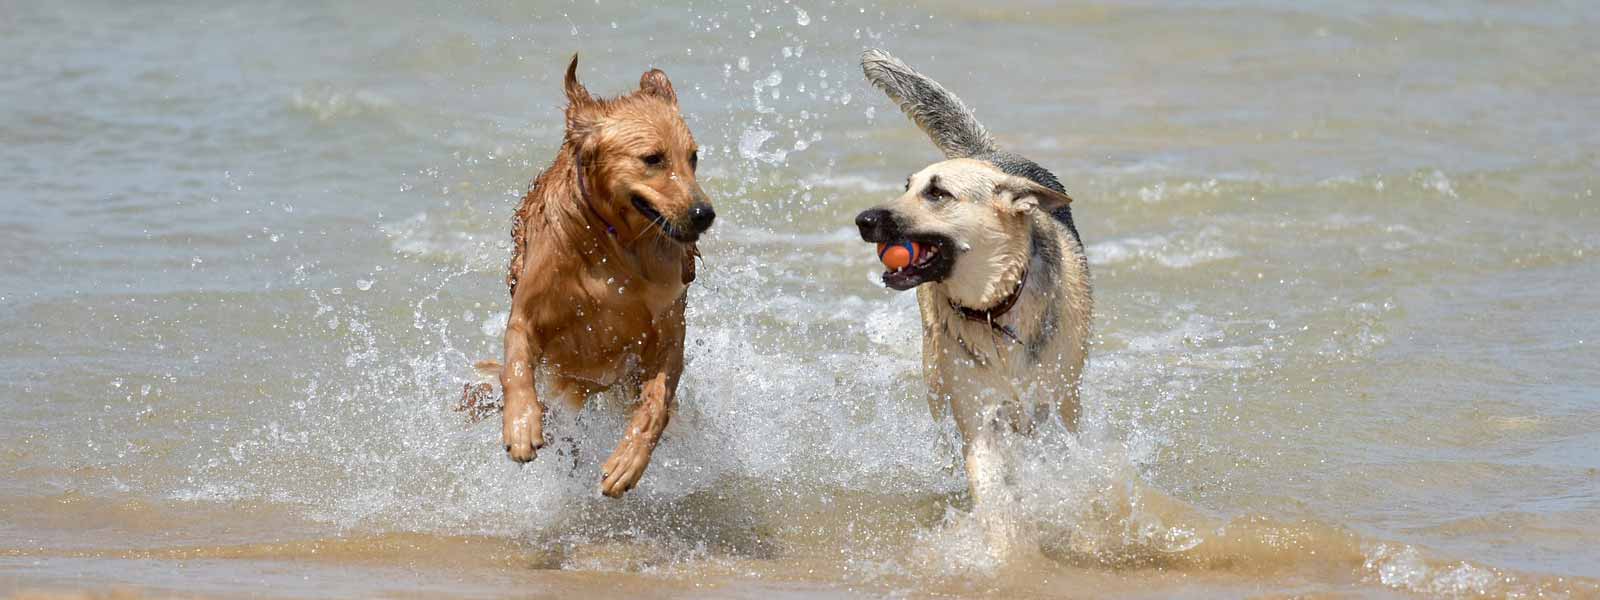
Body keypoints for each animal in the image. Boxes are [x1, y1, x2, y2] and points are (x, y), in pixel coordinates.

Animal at [486, 55, 713, 499]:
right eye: (653, 158)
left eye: (692, 157)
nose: (704, 214)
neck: (615, 247)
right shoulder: (528, 312)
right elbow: (516, 364)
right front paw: (521, 426)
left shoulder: (667, 332)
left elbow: (656, 402)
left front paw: (628, 461)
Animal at [857, 49, 1094, 556]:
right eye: (906, 186)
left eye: (937, 193)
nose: (863, 219)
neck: (994, 308)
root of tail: (986, 154)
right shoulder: (980, 417)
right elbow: (994, 493)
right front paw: (1006, 551)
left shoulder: (1055, 409)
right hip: (934, 378)